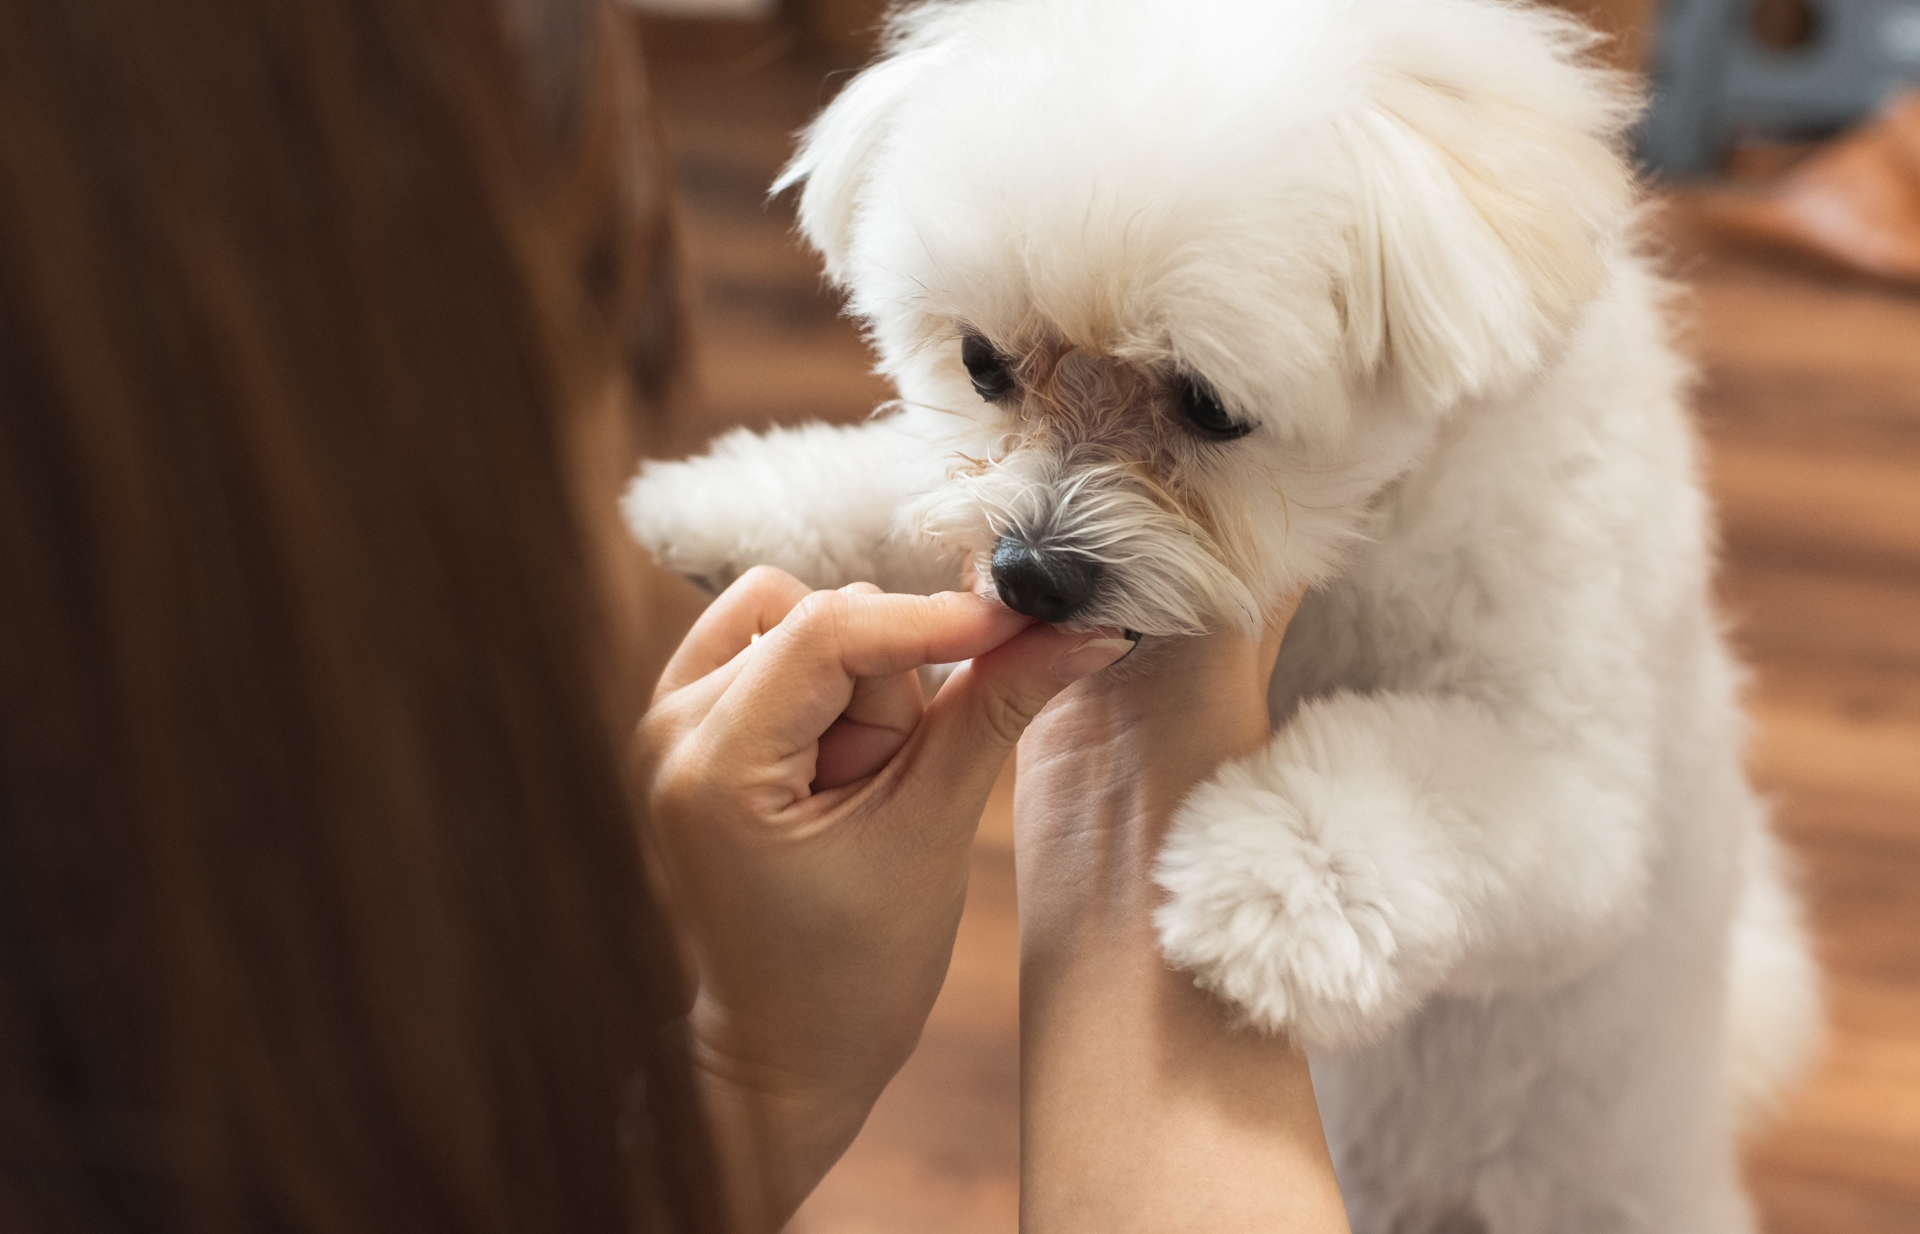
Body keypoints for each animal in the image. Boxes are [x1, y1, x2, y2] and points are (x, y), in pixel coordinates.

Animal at [625, 2, 1812, 1228]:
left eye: (1208, 406)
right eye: (982, 362)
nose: (1030, 573)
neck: (1357, 546)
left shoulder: (1577, 787)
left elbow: (1405, 784)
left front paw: (1262, 890)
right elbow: (904, 486)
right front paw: (728, 507)